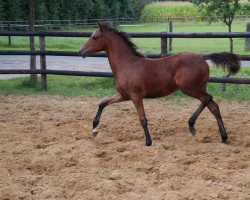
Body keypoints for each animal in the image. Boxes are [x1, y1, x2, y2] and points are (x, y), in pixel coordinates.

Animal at [79, 21, 241, 146]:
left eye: (94, 37)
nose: (81, 51)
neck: (126, 64)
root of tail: (202, 57)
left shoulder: (136, 96)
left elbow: (143, 119)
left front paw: (148, 142)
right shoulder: (123, 95)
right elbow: (102, 103)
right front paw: (94, 129)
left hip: (188, 88)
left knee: (208, 99)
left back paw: (192, 125)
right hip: (199, 87)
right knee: (213, 106)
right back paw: (223, 138)